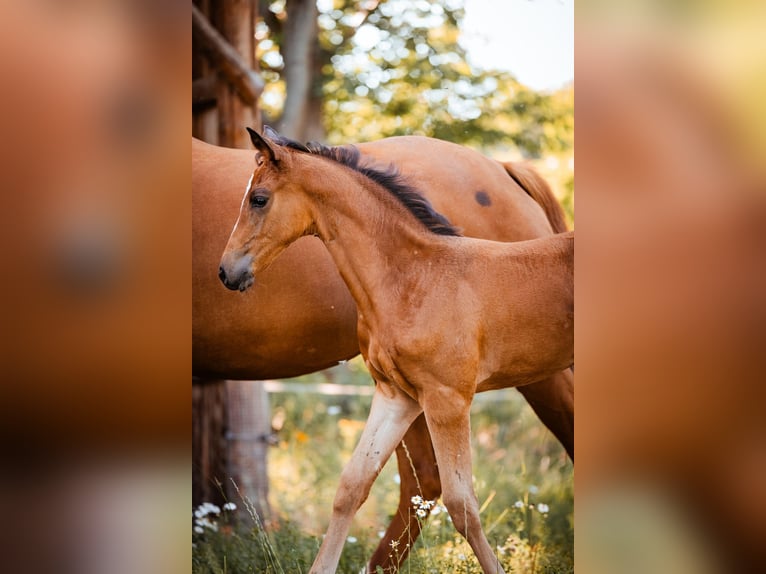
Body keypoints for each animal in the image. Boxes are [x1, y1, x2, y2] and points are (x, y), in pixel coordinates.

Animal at [192, 130, 576, 572]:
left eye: (258, 198)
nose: (227, 271)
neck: (417, 277)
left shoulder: (447, 400)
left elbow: (462, 504)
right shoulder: (398, 396)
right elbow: (351, 486)